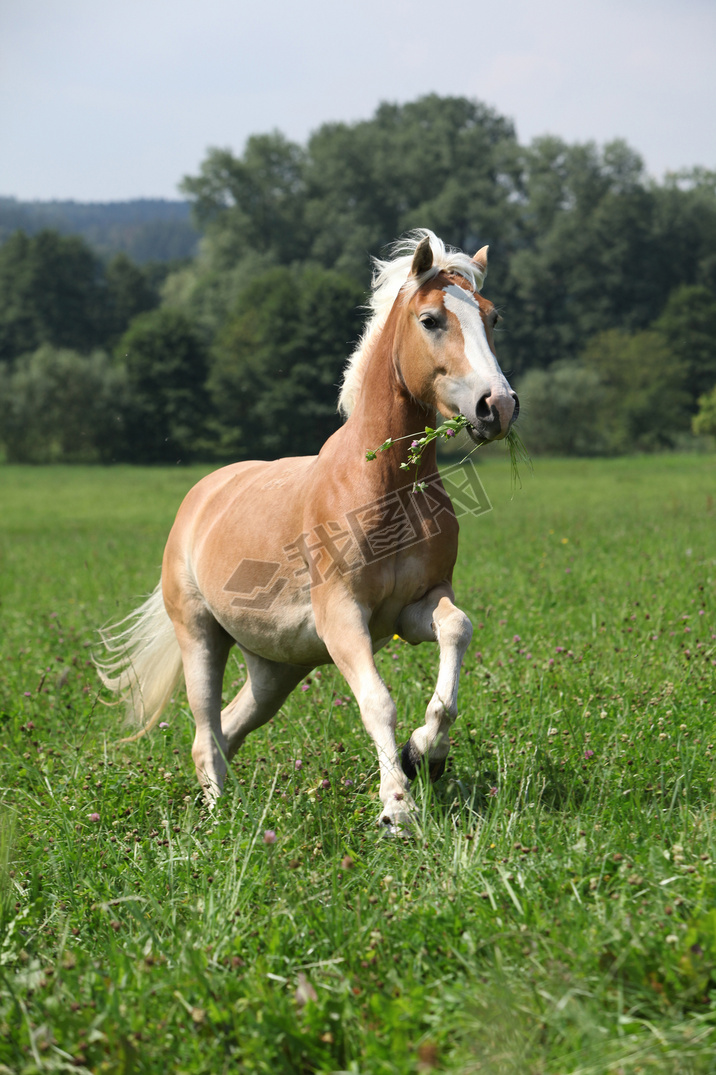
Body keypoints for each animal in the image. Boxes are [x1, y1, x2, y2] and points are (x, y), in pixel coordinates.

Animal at [96, 228, 518, 829]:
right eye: (432, 319)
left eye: (492, 316)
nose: (497, 406)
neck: (384, 486)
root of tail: (201, 497)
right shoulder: (342, 615)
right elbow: (377, 702)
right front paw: (397, 807)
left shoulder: (413, 608)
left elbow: (456, 631)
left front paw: (425, 754)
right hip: (199, 636)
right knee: (204, 732)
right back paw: (222, 820)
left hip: (275, 668)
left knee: (229, 727)